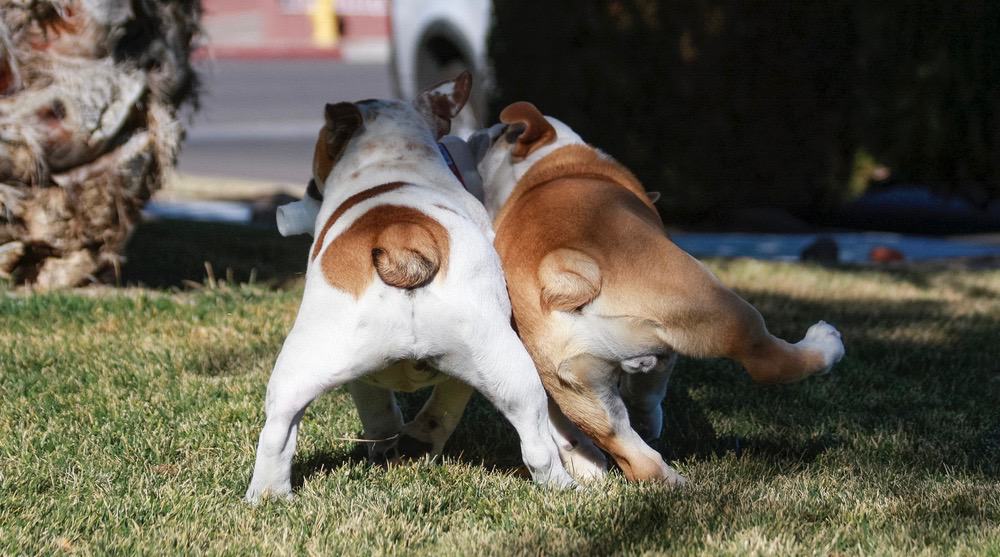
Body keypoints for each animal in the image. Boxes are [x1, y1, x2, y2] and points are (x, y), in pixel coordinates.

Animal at [246, 75, 576, 504]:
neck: (392, 159)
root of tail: (401, 240)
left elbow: (381, 411)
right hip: (507, 365)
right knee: (535, 442)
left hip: (301, 365)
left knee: (278, 432)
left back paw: (268, 495)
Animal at [470, 103, 844, 482]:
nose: (484, 134)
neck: (546, 167)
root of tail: (565, 269)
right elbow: (650, 389)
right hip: (713, 302)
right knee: (766, 360)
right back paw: (826, 343)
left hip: (574, 381)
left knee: (632, 454)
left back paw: (672, 482)